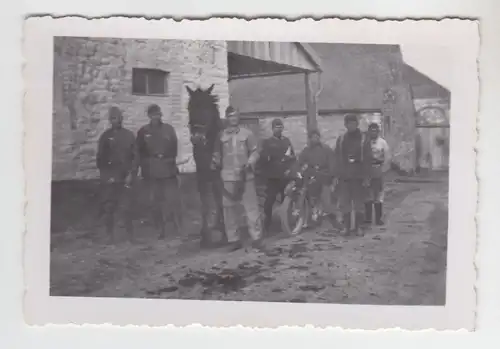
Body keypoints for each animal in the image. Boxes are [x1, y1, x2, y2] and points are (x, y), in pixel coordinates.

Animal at [186, 84, 227, 247]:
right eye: (189, 107)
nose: (197, 138)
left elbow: (220, 202)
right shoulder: (201, 176)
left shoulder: (219, 178)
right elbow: (205, 204)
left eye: (207, 107)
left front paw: (224, 236)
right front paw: (205, 237)